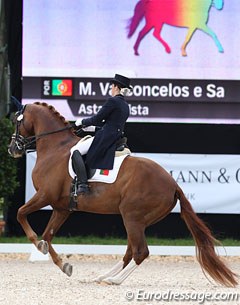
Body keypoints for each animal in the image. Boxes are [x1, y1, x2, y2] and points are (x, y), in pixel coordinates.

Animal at [7, 101, 238, 284]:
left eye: (17, 121)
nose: (12, 148)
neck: (56, 148)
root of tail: (174, 184)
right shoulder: (62, 207)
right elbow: (48, 235)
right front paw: (63, 264)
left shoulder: (44, 196)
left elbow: (21, 214)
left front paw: (37, 243)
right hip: (137, 221)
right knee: (130, 252)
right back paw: (103, 276)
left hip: (132, 217)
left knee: (140, 252)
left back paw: (114, 280)